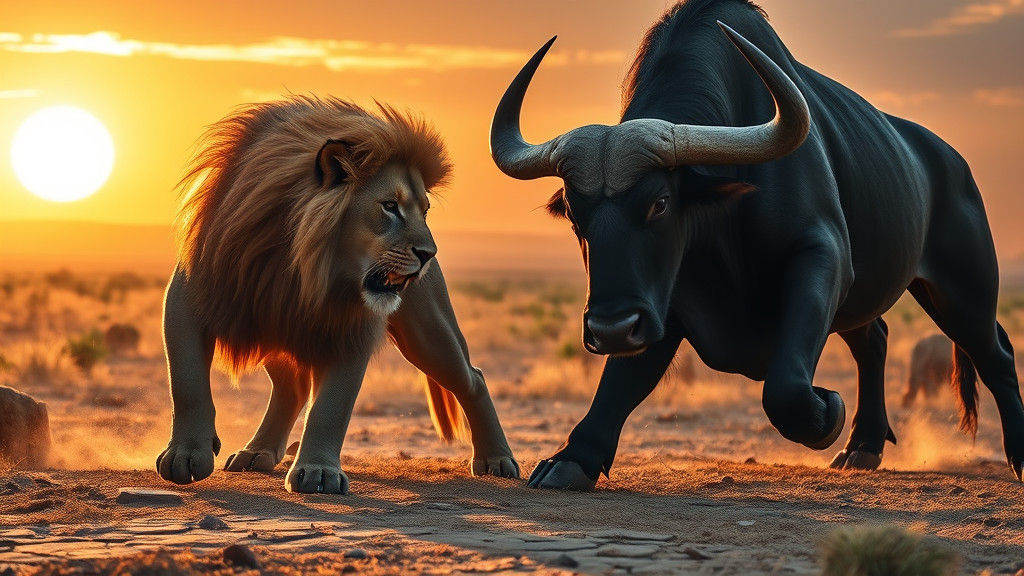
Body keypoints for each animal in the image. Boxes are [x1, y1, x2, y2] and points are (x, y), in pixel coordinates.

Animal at [156, 96, 519, 493]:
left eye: (424, 211)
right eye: (389, 206)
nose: (429, 253)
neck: (302, 265)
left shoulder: (349, 325)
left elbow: (331, 407)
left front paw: (318, 472)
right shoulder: (190, 296)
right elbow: (187, 381)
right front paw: (186, 454)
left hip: (428, 333)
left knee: (473, 378)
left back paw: (497, 459)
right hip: (276, 324)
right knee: (293, 388)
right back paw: (256, 453)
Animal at [489, 0, 1024, 490]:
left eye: (660, 203)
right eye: (574, 214)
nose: (610, 328)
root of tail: (952, 164)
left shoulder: (820, 258)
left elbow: (784, 388)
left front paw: (828, 411)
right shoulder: (662, 301)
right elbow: (621, 381)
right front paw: (571, 459)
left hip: (960, 291)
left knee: (994, 353)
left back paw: (1016, 455)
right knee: (874, 341)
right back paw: (863, 447)